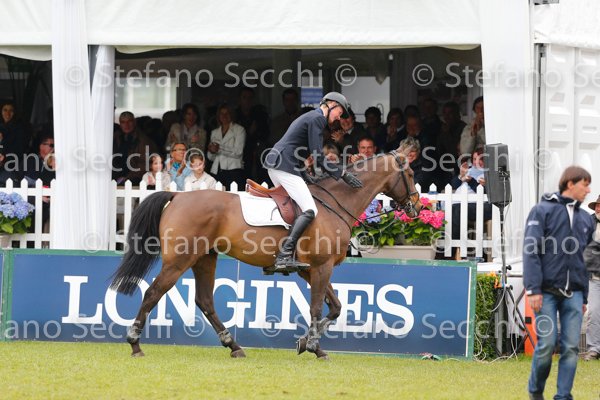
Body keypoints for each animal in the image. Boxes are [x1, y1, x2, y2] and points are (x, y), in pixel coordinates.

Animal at [110, 149, 421, 359]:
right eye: (410, 175)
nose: (416, 208)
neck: (335, 203)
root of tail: (178, 196)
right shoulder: (321, 267)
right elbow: (318, 307)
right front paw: (313, 347)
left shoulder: (310, 269)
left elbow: (335, 307)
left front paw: (305, 343)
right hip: (180, 260)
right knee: (154, 292)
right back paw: (135, 344)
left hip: (204, 257)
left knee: (205, 300)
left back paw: (234, 346)